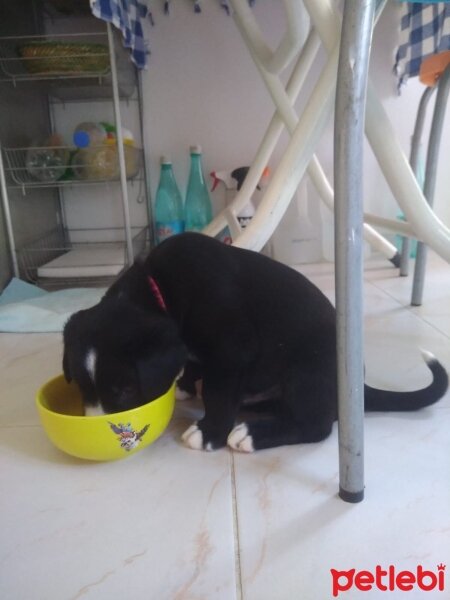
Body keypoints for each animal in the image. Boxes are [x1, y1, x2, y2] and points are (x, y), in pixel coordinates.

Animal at [62, 232, 446, 452]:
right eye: (80, 386)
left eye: (126, 390)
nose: (99, 426)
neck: (159, 286)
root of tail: (357, 389)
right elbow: (194, 364)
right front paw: (185, 385)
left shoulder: (232, 348)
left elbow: (218, 392)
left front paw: (209, 432)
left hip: (309, 369)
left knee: (317, 425)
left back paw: (249, 434)